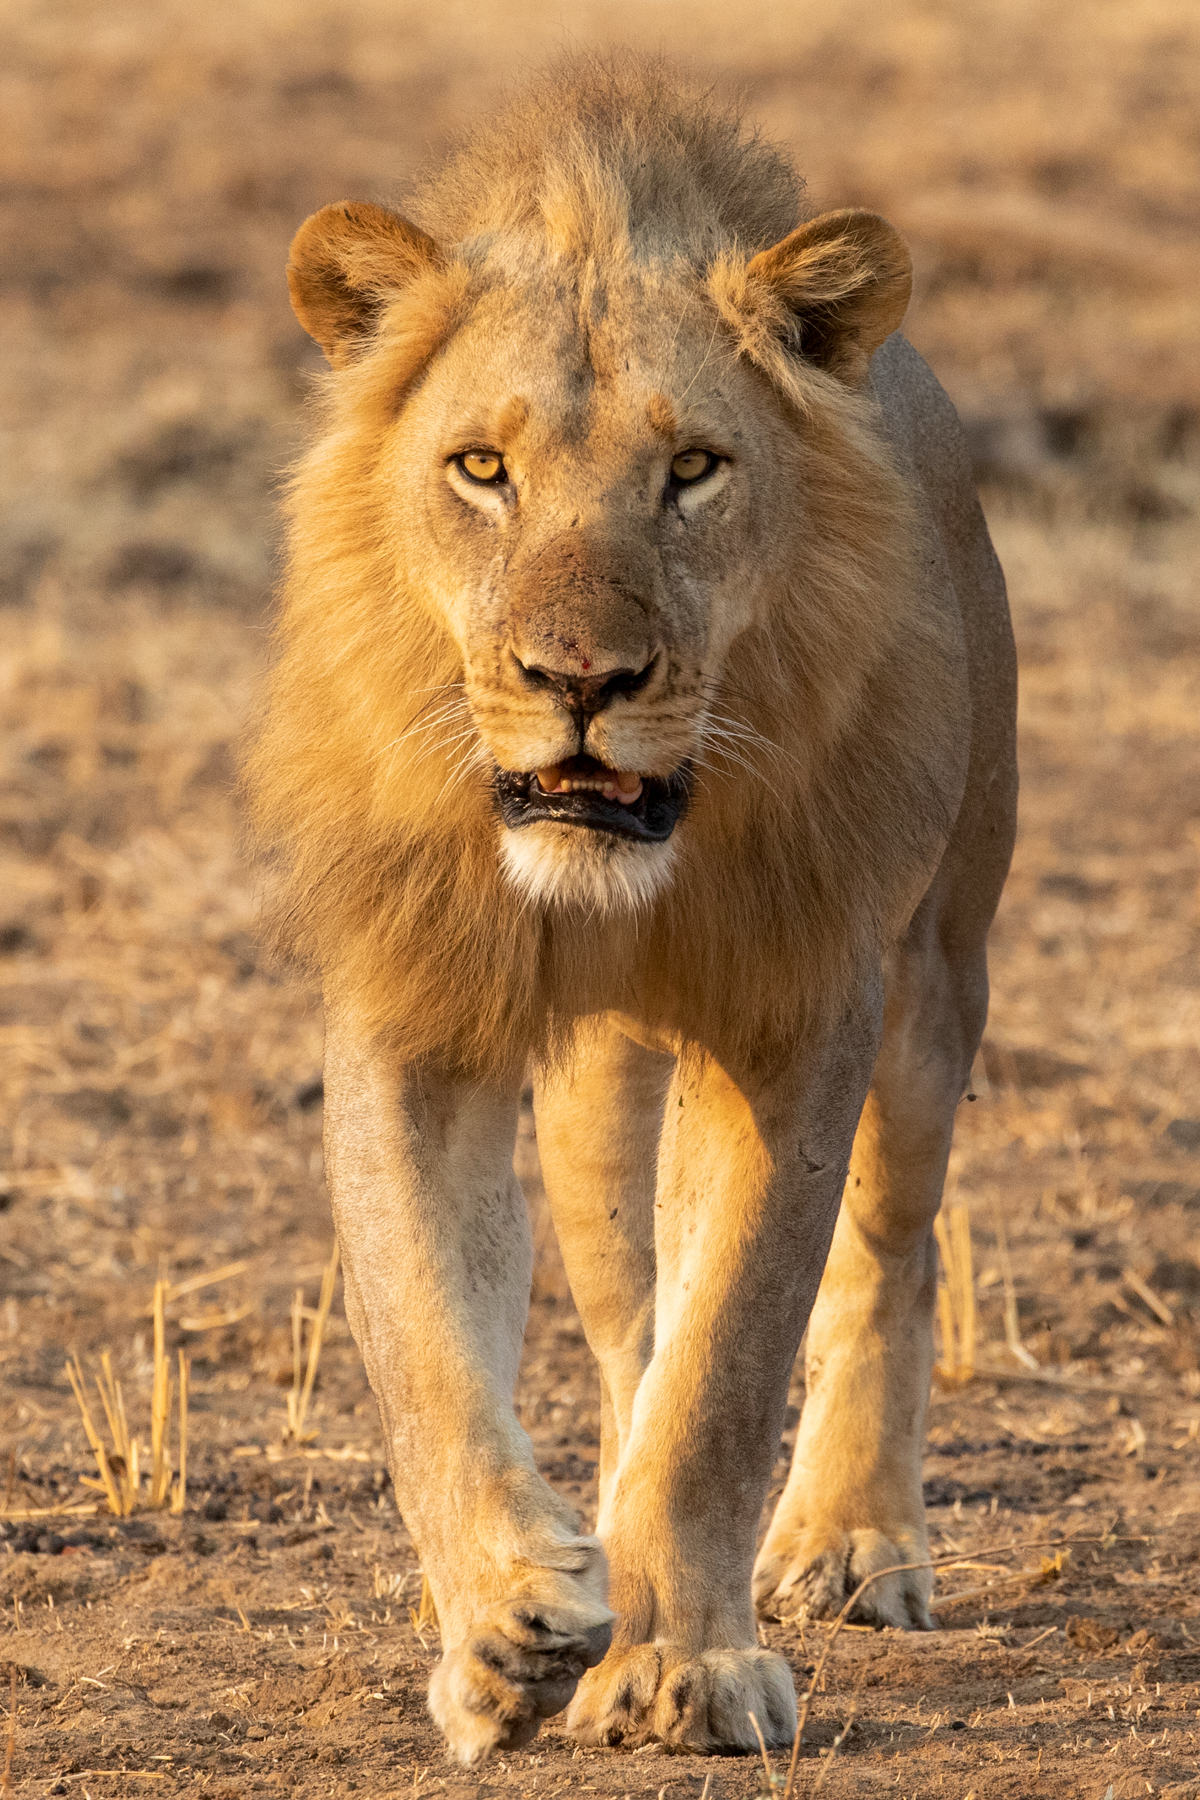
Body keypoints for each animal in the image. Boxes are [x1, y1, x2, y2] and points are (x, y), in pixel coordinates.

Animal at [247, 55, 1017, 1765]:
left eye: (693, 471)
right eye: (482, 469)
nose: (580, 681)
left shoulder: (805, 1010)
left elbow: (730, 1364)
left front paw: (687, 1666)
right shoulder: (413, 1012)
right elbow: (426, 1344)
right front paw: (508, 1624)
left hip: (939, 972)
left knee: (890, 1252)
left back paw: (850, 1544)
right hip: (602, 1093)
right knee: (622, 1324)